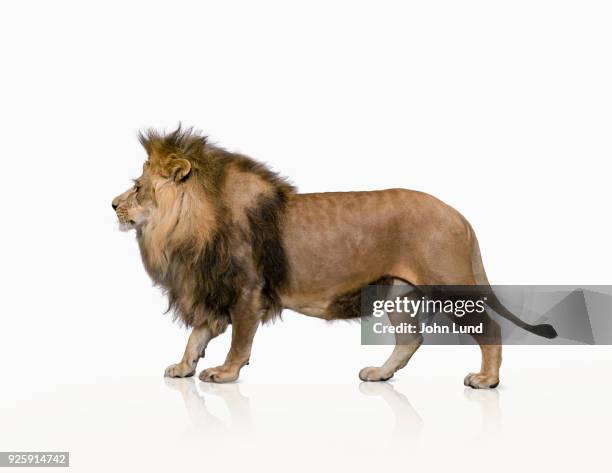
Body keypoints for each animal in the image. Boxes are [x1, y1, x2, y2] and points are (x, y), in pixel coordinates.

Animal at [112, 125, 556, 388]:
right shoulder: (212, 289)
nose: (112, 205)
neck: (187, 225)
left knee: (491, 329)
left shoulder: (246, 292)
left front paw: (224, 372)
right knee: (411, 338)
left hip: (450, 285)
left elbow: (239, 340)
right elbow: (196, 335)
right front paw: (183, 367)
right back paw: (380, 374)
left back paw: (486, 380)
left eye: (137, 187)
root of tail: (458, 215)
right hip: (398, 292)